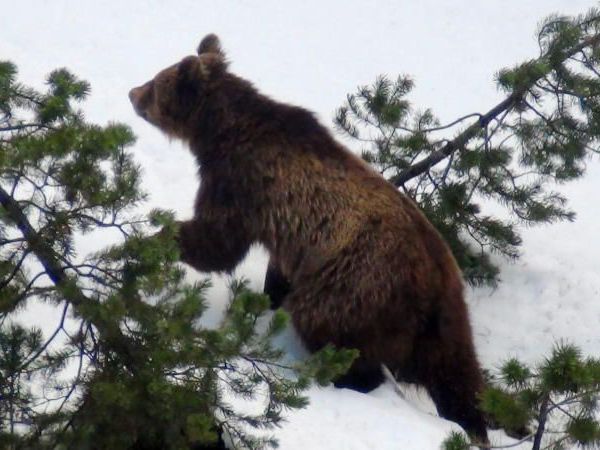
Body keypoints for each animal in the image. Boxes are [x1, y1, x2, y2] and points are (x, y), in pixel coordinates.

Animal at [129, 34, 490, 442]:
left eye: (157, 83)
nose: (132, 92)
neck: (220, 132)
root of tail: (434, 277)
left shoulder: (240, 182)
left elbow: (217, 242)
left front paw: (153, 237)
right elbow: (272, 269)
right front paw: (267, 298)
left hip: (355, 284)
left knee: (331, 329)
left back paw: (340, 378)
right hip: (446, 318)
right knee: (457, 374)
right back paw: (472, 423)